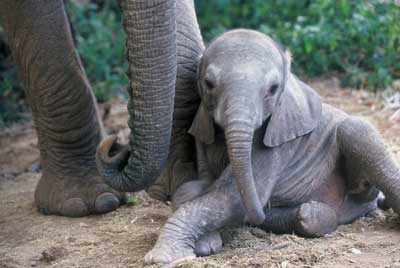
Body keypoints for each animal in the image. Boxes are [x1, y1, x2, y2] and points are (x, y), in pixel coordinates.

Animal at [144, 28, 400, 264]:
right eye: (208, 84)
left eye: (273, 89)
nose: (257, 213)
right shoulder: (202, 132)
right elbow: (194, 188)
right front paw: (206, 244)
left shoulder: (280, 142)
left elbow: (232, 196)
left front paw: (162, 257)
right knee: (306, 215)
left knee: (355, 130)